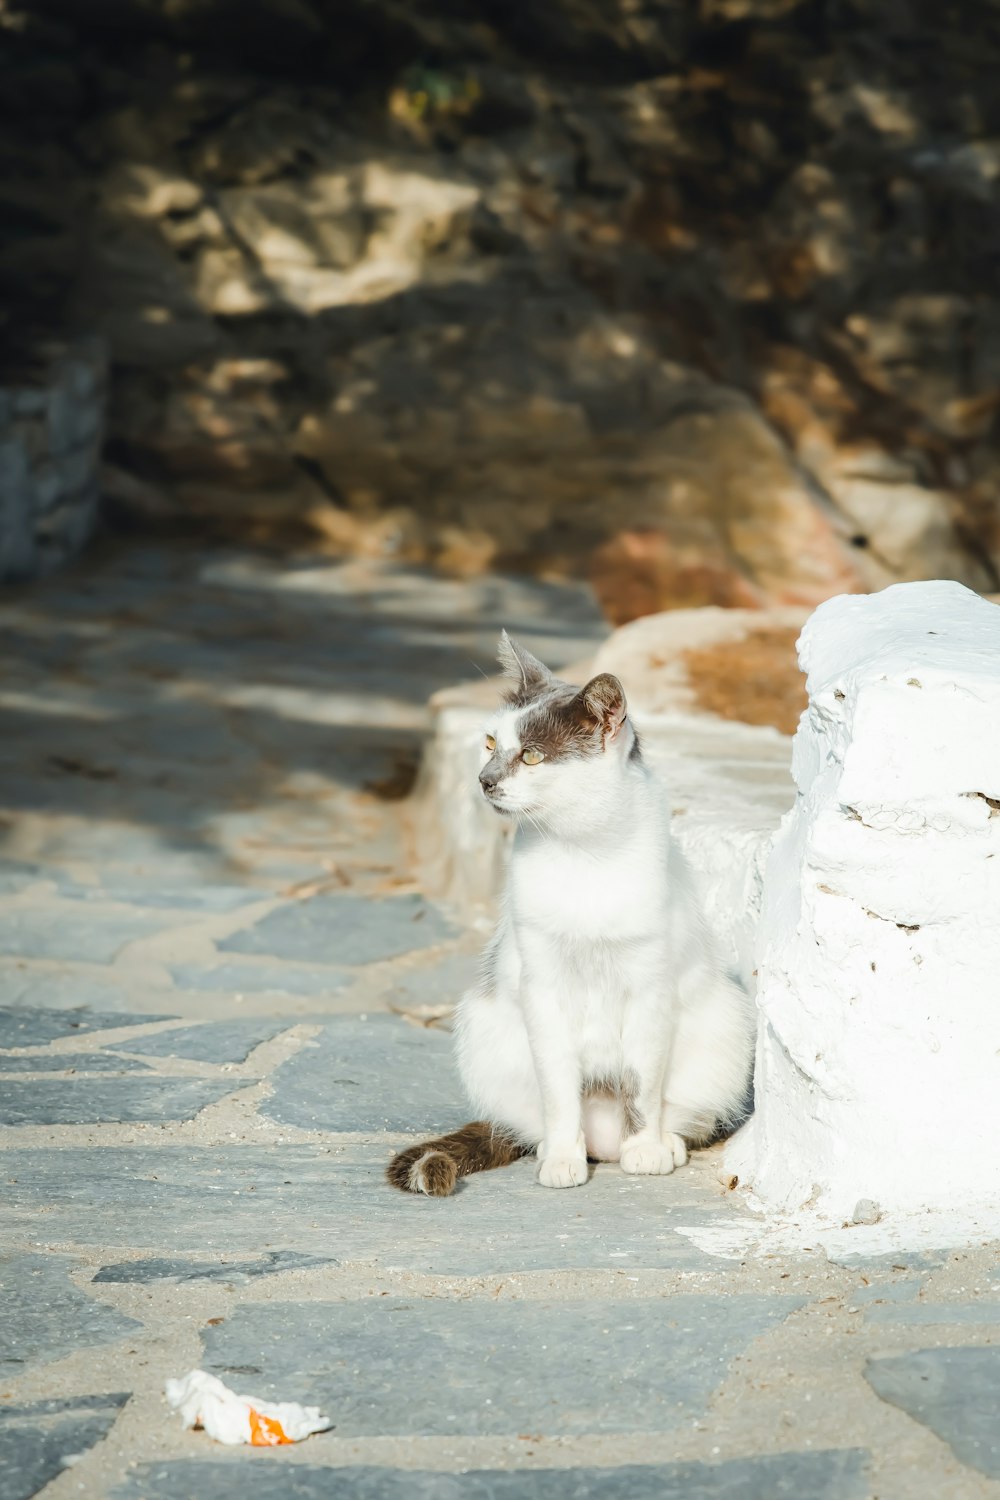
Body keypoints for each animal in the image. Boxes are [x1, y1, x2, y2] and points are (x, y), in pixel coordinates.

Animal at [386, 633, 755, 1194]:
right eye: (490, 743)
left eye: (533, 756)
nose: (484, 780)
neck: (582, 851)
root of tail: (603, 1142)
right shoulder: (542, 988)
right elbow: (558, 1089)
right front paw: (562, 1159)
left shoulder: (650, 990)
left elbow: (642, 1086)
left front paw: (644, 1150)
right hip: (485, 1027)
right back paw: (556, 1147)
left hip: (724, 1025)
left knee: (680, 1110)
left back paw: (662, 1144)